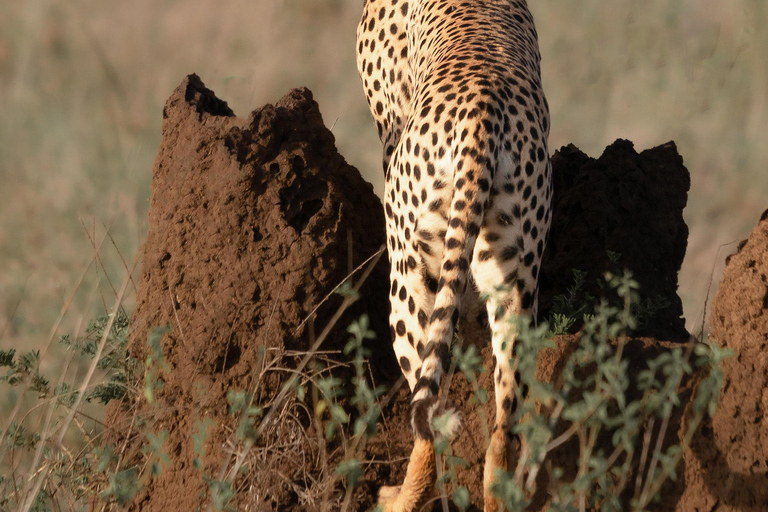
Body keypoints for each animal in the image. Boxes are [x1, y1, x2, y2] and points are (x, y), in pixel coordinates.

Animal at [358, 2, 552, 510]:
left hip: (407, 281)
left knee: (431, 423)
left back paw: (396, 497)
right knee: (503, 428)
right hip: (514, 283)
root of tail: (484, 113)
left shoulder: (388, 130)